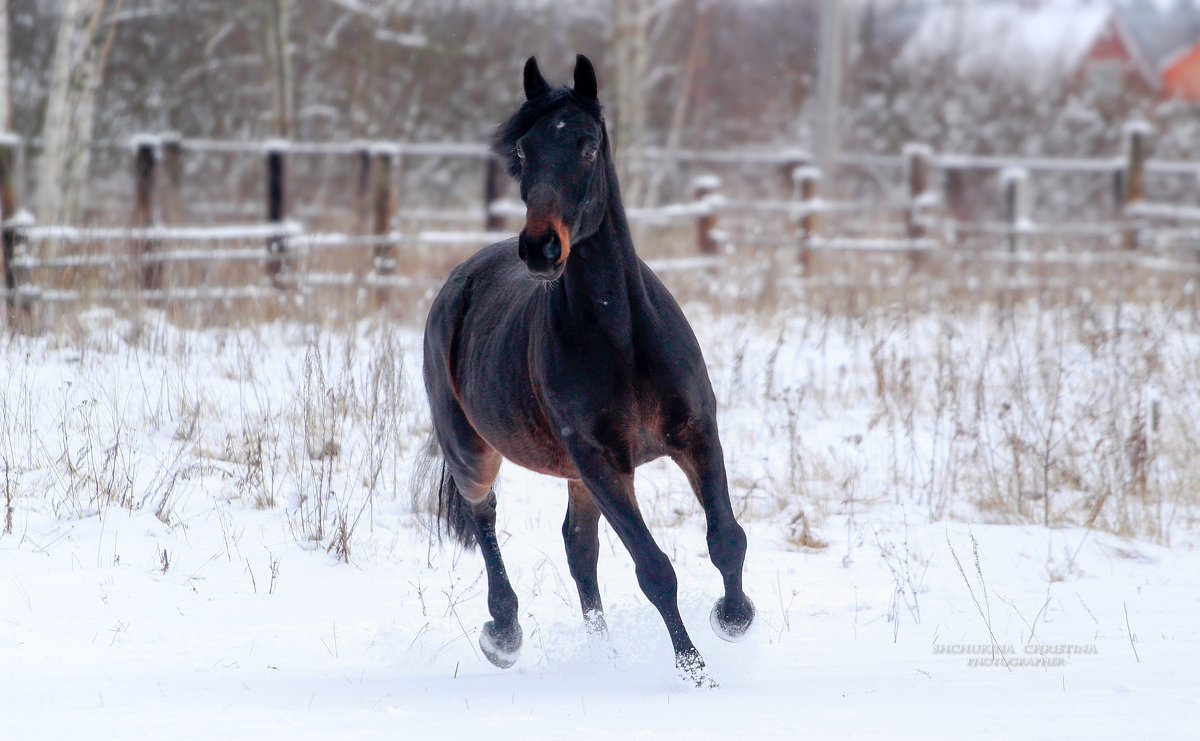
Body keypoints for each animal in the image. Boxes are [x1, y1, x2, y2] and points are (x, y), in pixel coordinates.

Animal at [422, 54, 753, 685]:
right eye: (522, 150)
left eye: (588, 147)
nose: (541, 250)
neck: (621, 337)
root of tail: (460, 281)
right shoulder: (601, 461)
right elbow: (654, 569)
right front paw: (694, 668)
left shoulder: (696, 435)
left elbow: (726, 537)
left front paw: (734, 617)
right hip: (474, 453)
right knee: (485, 519)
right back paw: (503, 633)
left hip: (575, 476)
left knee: (579, 549)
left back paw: (604, 654)